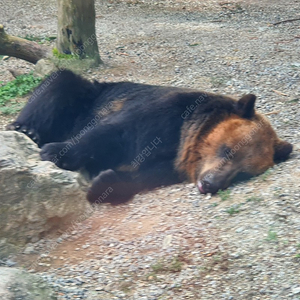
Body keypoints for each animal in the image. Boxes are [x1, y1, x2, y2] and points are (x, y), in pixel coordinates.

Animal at [7, 69, 292, 204]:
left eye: (244, 172)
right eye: (227, 150)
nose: (210, 183)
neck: (184, 138)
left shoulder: (173, 162)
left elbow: (145, 175)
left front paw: (104, 182)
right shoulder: (160, 114)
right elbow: (111, 132)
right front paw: (55, 152)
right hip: (88, 97)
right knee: (60, 84)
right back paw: (26, 130)